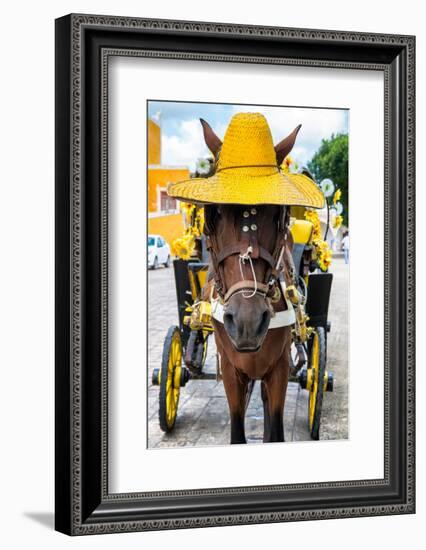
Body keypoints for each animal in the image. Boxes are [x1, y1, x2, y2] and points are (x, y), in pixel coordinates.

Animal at [201, 119, 298, 444]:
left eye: (277, 212)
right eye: (213, 212)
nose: (247, 321)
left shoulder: (280, 367)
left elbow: (276, 430)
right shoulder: (231, 370)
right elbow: (237, 431)